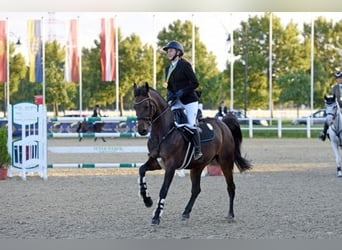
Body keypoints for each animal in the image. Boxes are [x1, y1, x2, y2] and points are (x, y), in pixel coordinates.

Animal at [133, 82, 251, 227]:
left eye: (147, 106)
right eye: (135, 106)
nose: (142, 130)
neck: (163, 132)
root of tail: (223, 124)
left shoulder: (171, 166)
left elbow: (164, 189)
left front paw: (156, 216)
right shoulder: (156, 162)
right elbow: (141, 170)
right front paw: (147, 199)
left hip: (226, 162)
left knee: (231, 187)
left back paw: (230, 215)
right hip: (197, 167)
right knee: (196, 189)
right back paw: (185, 213)